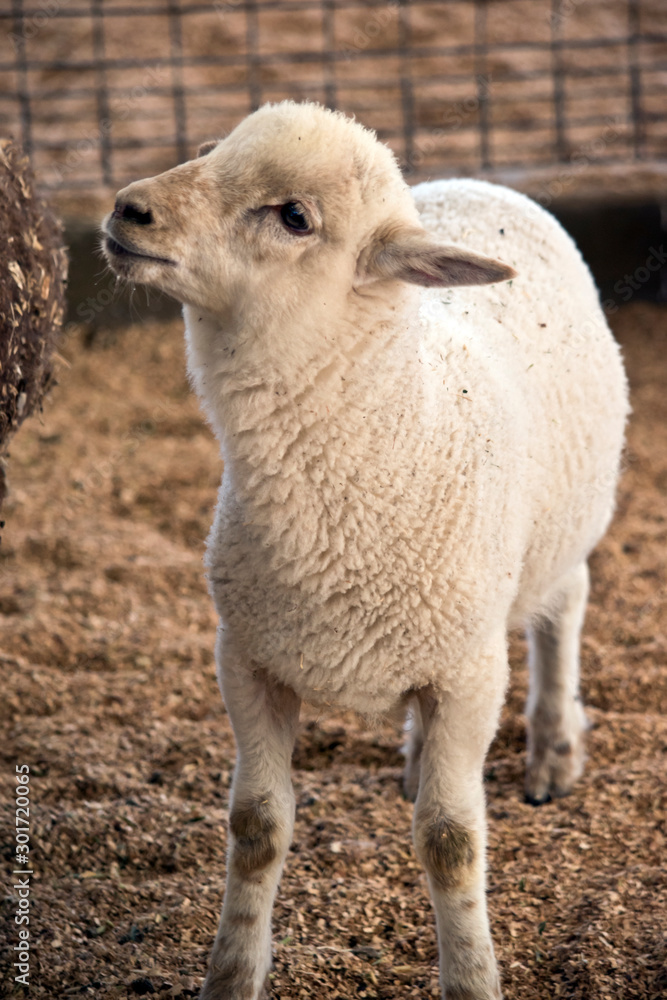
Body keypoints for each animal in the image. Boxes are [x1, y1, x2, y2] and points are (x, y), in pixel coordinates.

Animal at [102, 101, 629, 1000]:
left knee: (562, 608)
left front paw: (471, 977)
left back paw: (553, 747)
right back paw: (420, 758)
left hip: (557, 530)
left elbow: (450, 842)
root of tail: (476, 179)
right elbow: (255, 827)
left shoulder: (467, 673)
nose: (127, 209)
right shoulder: (247, 659)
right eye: (208, 152)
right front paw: (232, 973)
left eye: (294, 217)